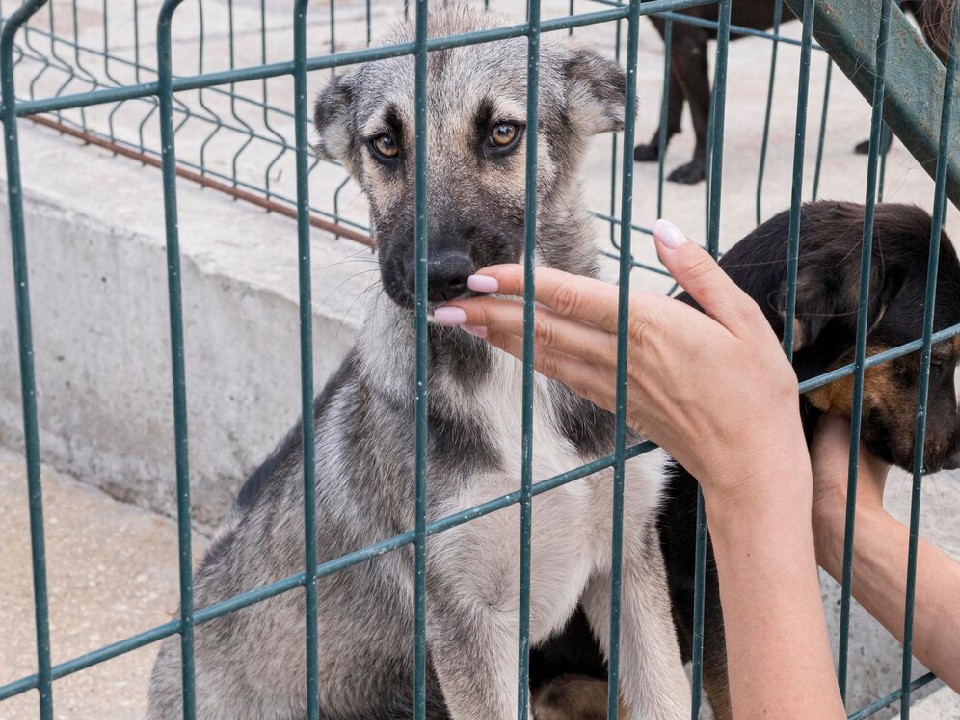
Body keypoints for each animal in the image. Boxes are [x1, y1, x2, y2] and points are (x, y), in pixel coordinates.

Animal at [148, 7, 688, 720]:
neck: (511, 374)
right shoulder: (465, 618)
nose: (436, 276)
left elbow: (666, 693)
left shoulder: (625, 560)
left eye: (502, 133)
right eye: (384, 145)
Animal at [636, 1, 952, 186]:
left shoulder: (688, 41)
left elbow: (700, 117)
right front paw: (655, 150)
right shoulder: (675, 39)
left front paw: (697, 171)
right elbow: (670, 106)